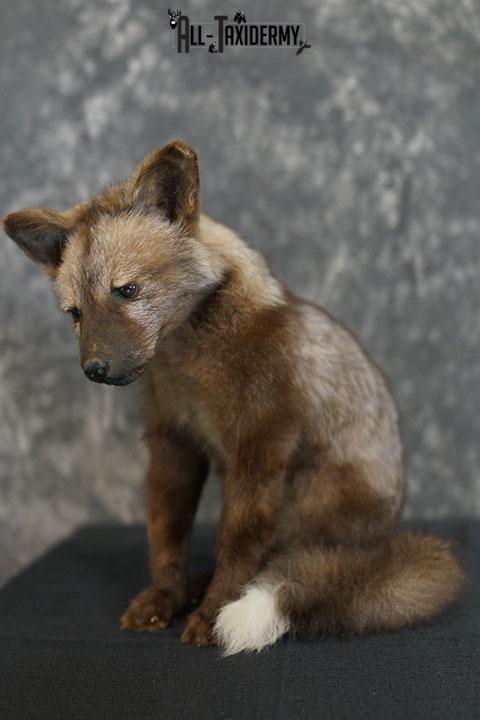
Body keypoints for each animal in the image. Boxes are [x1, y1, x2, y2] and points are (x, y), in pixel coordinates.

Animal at [3, 140, 464, 654]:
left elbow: (238, 544)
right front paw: (166, 598)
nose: (95, 369)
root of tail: (385, 536)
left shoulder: (259, 450)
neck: (193, 369)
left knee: (281, 563)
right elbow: (166, 533)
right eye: (75, 314)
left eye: (127, 289)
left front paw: (212, 614)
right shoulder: (172, 444)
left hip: (309, 507)